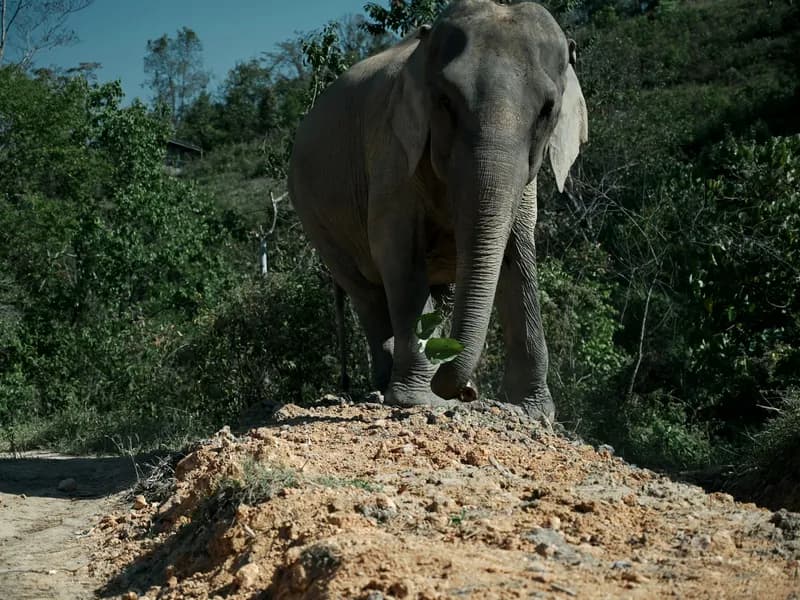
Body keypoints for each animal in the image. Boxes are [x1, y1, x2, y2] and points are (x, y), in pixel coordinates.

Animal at [289, 0, 588, 421]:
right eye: (445, 101)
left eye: (547, 110)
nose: (466, 392)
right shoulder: (395, 151)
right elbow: (397, 253)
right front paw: (420, 401)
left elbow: (517, 255)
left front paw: (533, 412)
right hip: (315, 215)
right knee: (366, 293)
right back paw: (384, 386)